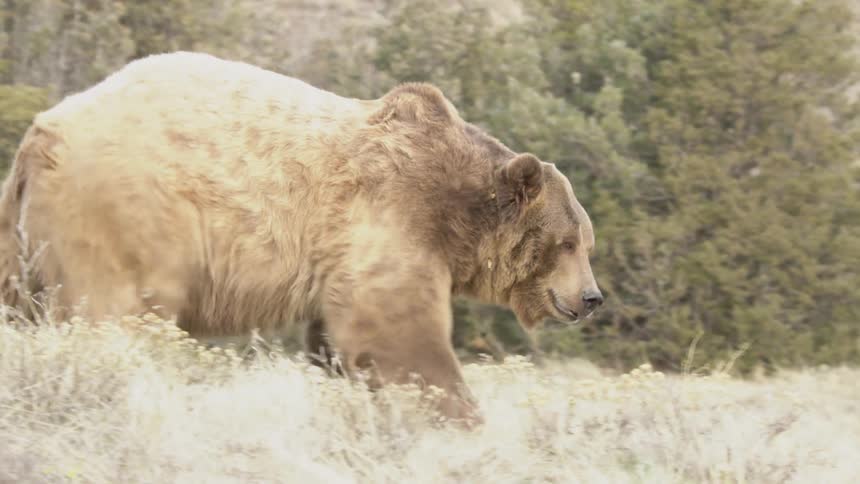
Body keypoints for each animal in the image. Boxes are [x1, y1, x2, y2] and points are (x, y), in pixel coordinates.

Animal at [0, 51, 603, 424]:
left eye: (586, 242)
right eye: (569, 242)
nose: (592, 297)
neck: (455, 212)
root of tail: (42, 131)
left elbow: (338, 343)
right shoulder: (391, 216)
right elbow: (398, 333)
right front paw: (461, 416)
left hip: (22, 234)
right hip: (131, 214)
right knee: (119, 313)